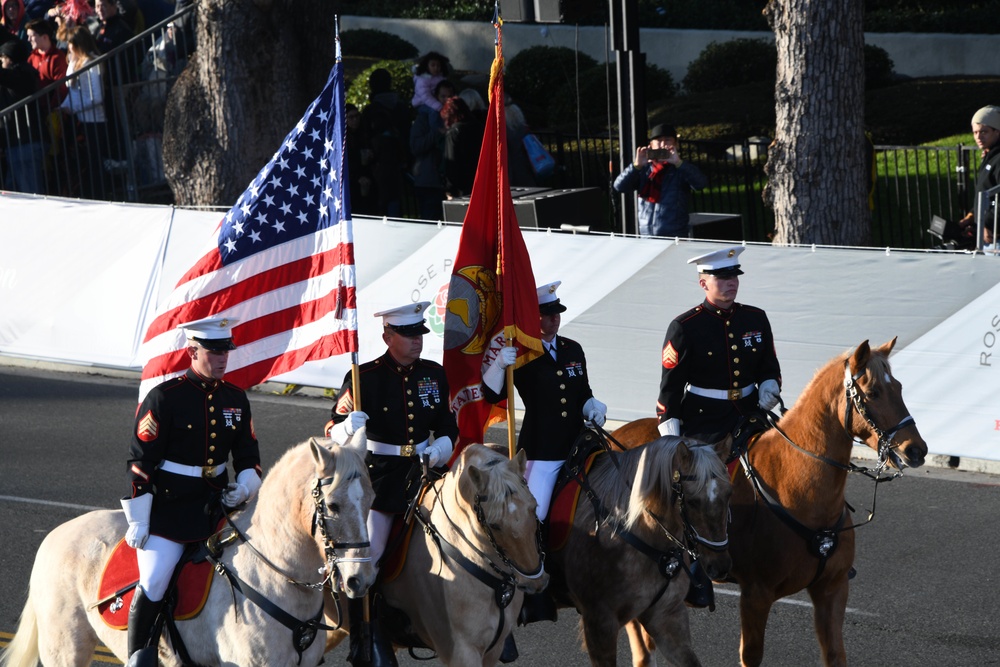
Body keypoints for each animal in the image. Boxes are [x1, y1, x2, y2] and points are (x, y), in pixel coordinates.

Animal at [0, 438, 376, 667]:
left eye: (371, 500)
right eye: (333, 505)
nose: (360, 579)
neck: (275, 576)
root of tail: (56, 535)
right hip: (64, 648)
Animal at [612, 340, 932, 667]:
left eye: (899, 387)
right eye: (873, 392)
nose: (916, 450)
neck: (797, 484)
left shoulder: (832, 588)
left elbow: (835, 654)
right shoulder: (756, 594)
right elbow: (751, 655)